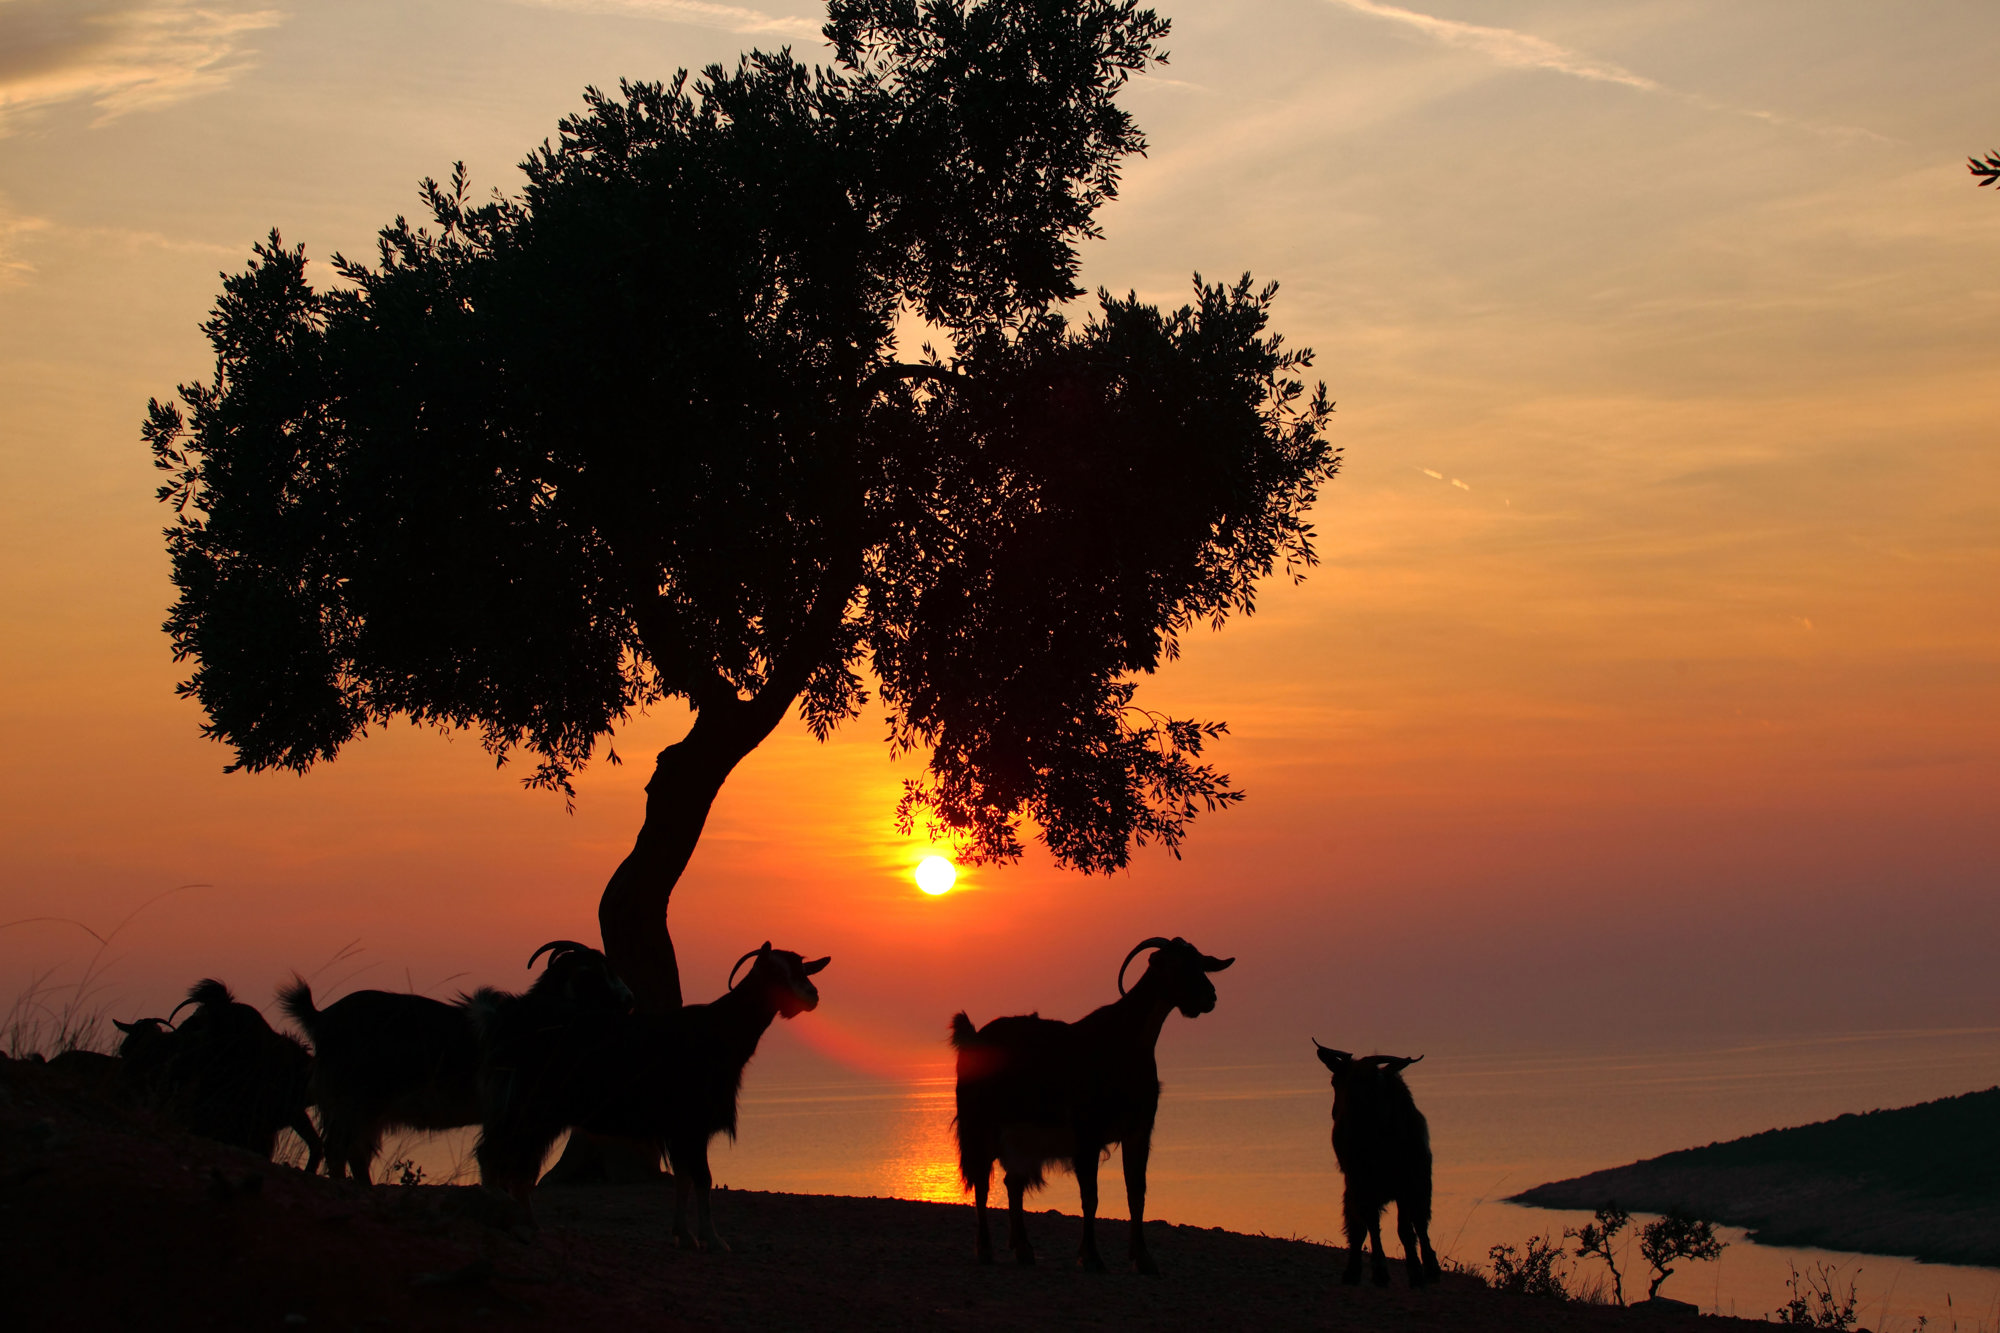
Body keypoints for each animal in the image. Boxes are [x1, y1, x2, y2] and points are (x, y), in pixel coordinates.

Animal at [278, 940, 628, 1176]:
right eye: (591, 975)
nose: (630, 998)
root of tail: (321, 1018)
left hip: (365, 1106)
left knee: (354, 1151)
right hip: (351, 1098)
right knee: (340, 1148)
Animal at [470, 940, 828, 1240]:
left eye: (801, 968)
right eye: (775, 971)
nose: (812, 996)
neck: (718, 1031)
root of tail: (506, 1022)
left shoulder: (680, 1128)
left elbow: (683, 1178)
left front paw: (684, 1235)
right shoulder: (693, 1123)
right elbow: (703, 1178)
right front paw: (712, 1239)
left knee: (514, 1166)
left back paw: (528, 1224)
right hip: (527, 1110)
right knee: (498, 1158)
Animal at [1312, 1040, 1440, 1280]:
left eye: (1334, 1082)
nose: (1334, 1112)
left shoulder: (1357, 1180)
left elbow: (1361, 1222)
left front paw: (1360, 1271)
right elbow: (1406, 1227)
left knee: (1378, 1219)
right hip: (1416, 1176)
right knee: (1418, 1220)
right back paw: (1427, 1269)